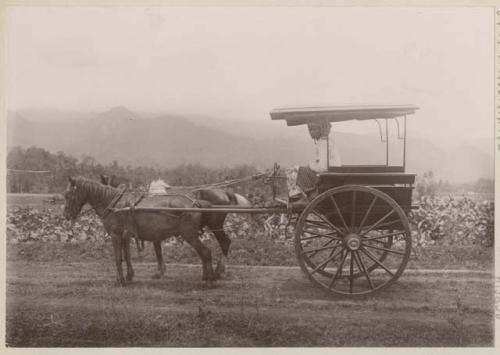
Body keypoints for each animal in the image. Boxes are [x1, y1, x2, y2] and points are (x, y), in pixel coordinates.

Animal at [62, 177, 250, 286]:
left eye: (67, 195)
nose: (66, 215)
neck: (114, 203)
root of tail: (197, 203)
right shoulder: (125, 235)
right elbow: (127, 256)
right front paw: (130, 276)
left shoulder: (115, 235)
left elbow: (117, 258)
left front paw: (120, 280)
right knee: (219, 245)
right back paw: (212, 274)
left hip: (189, 233)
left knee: (206, 251)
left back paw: (210, 277)